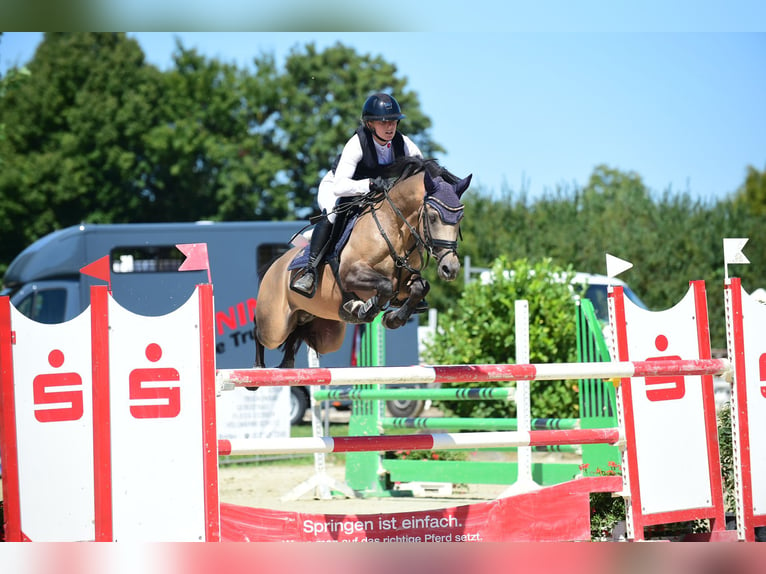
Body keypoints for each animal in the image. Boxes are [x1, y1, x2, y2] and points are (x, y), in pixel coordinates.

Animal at [254, 158, 468, 372]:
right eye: (433, 217)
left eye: (460, 219)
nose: (450, 269)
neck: (395, 228)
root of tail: (275, 265)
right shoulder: (350, 275)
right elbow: (385, 286)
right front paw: (364, 309)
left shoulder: (405, 284)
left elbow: (420, 287)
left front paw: (392, 319)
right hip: (275, 323)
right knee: (261, 331)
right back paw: (257, 368)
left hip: (324, 333)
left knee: (297, 333)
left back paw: (287, 364)